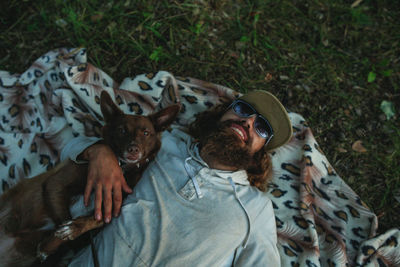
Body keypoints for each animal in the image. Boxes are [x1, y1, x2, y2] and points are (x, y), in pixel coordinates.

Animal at [0, 91, 180, 266]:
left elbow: (94, 219)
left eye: (146, 133)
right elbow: (64, 219)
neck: (121, 167)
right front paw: (52, 242)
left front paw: (70, 230)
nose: (133, 149)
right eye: (122, 130)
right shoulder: (55, 185)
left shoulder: (114, 206)